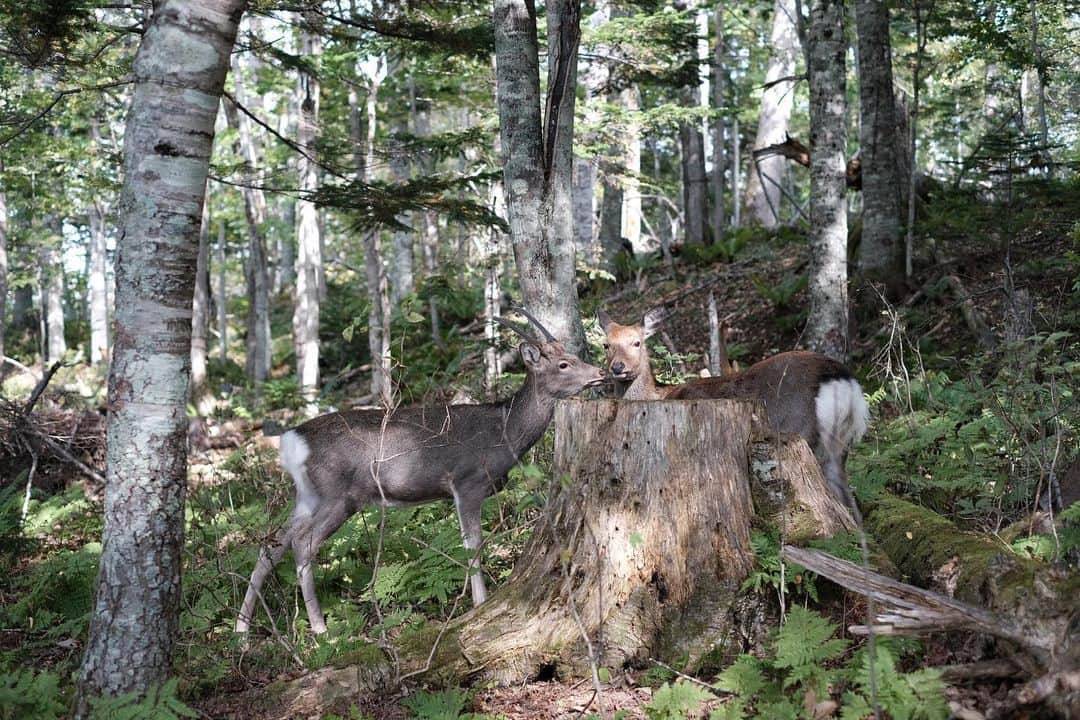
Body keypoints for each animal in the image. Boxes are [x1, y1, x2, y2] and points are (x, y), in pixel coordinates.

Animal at [238, 310, 609, 634]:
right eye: (563, 364)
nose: (601, 372)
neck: (505, 433)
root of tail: (290, 441)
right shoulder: (466, 482)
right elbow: (473, 545)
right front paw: (479, 605)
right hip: (337, 493)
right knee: (303, 544)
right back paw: (319, 629)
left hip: (307, 496)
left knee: (271, 545)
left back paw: (241, 632)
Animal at [596, 308, 872, 507]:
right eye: (606, 345)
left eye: (637, 342)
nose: (617, 367)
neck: (659, 394)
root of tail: (844, 381)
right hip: (839, 447)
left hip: (800, 432)